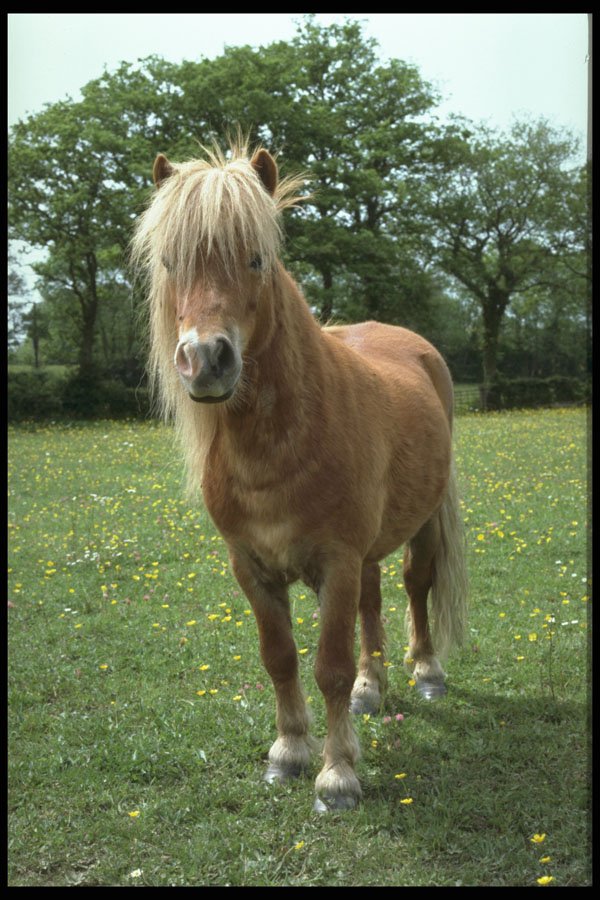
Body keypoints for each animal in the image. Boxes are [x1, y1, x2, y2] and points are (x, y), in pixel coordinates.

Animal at [131, 142, 468, 812]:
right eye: (172, 261)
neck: (279, 448)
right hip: (365, 553)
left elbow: (328, 666)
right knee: (373, 600)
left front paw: (337, 776)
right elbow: (280, 657)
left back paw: (425, 672)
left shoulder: (336, 560)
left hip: (422, 526)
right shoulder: (252, 567)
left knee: (416, 587)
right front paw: (288, 752)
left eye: (257, 258)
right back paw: (372, 688)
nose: (204, 360)